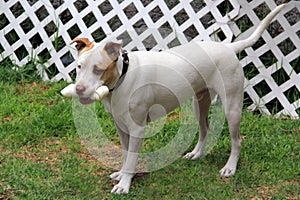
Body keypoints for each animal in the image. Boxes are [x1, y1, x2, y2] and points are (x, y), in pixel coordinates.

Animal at [67, 4, 286, 194]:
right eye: (79, 66)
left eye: (98, 70)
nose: (79, 90)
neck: (123, 76)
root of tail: (229, 48)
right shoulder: (121, 127)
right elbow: (125, 154)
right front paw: (121, 175)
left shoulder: (137, 129)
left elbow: (131, 158)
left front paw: (124, 184)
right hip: (200, 103)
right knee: (205, 129)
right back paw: (197, 153)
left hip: (231, 107)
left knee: (237, 140)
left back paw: (230, 168)